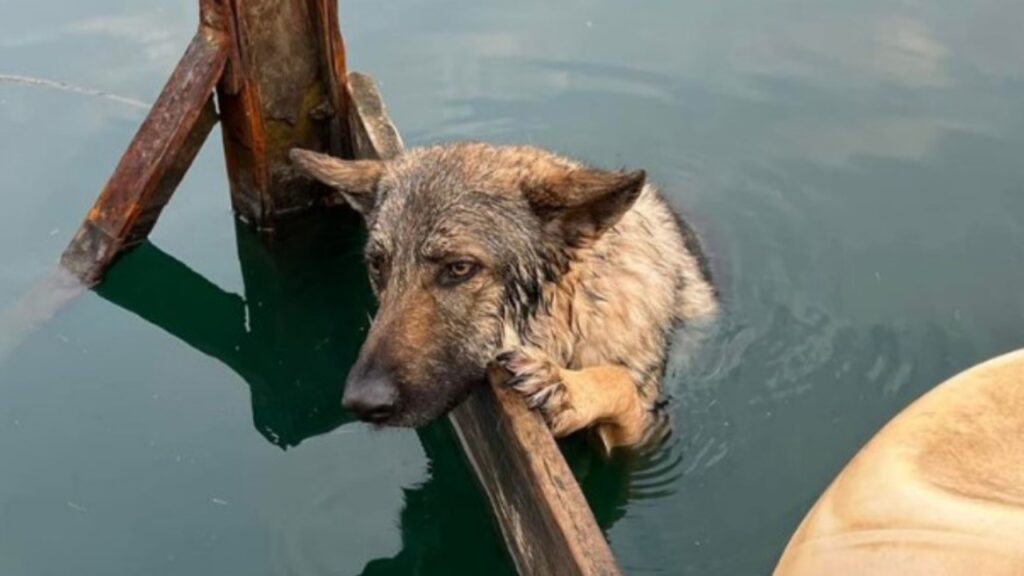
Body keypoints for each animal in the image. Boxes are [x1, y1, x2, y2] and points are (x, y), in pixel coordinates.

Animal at [292, 141, 716, 446]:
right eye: (378, 265)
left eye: (459, 269)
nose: (361, 403)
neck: (571, 313)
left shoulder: (645, 435)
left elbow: (619, 382)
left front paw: (565, 388)